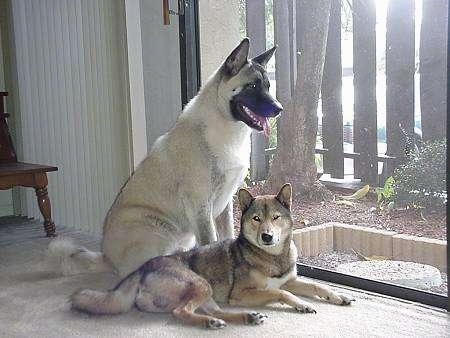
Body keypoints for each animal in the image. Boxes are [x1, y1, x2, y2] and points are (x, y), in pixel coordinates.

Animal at [70, 184, 354, 328]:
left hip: (207, 294)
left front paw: (338, 297)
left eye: (276, 217)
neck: (271, 256)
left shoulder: (290, 279)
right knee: (181, 312)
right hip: (200, 284)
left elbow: (316, 286)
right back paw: (211, 323)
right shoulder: (240, 294)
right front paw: (301, 304)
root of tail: (141, 269)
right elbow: (281, 293)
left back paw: (244, 318)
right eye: (256, 219)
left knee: (212, 311)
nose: (267, 236)